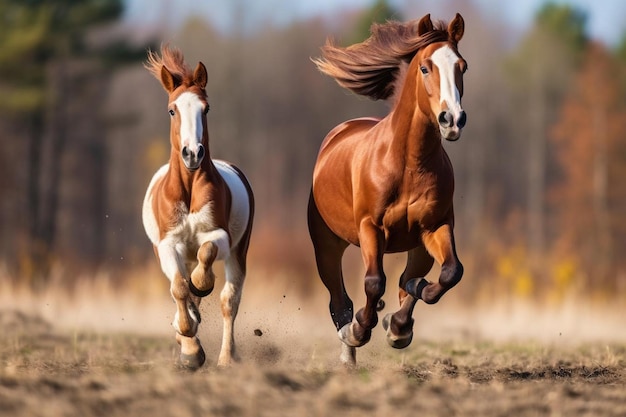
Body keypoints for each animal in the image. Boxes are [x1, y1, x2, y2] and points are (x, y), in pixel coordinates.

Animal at [142, 47, 254, 368]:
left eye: (206, 108)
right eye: (172, 110)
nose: (192, 153)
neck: (189, 188)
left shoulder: (220, 237)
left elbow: (205, 258)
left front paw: (202, 284)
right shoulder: (168, 245)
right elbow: (179, 288)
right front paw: (189, 348)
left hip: (239, 254)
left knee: (229, 301)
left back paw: (226, 357)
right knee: (181, 287)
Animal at [310, 13, 466, 364]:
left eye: (462, 67)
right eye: (425, 68)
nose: (452, 120)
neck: (409, 163)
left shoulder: (435, 227)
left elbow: (450, 273)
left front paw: (398, 323)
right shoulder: (371, 227)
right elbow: (373, 283)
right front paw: (359, 329)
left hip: (417, 245)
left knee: (408, 280)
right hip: (327, 244)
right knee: (339, 298)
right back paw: (349, 345)